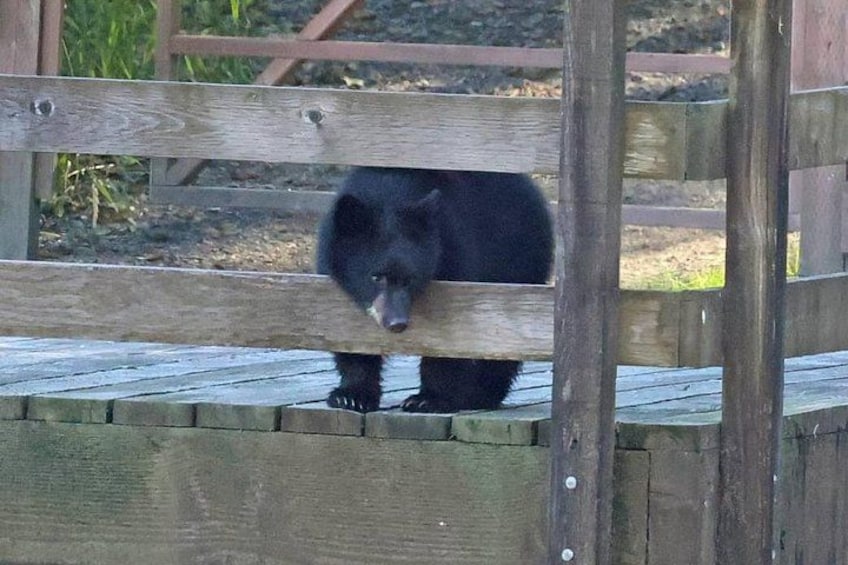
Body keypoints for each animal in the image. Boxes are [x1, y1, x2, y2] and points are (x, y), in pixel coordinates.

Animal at [317, 167, 553, 413]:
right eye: (376, 276)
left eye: (410, 278)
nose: (397, 323)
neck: (388, 194)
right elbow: (347, 337)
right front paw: (351, 396)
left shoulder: (453, 251)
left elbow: (451, 337)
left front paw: (428, 399)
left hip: (517, 262)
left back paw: (479, 395)